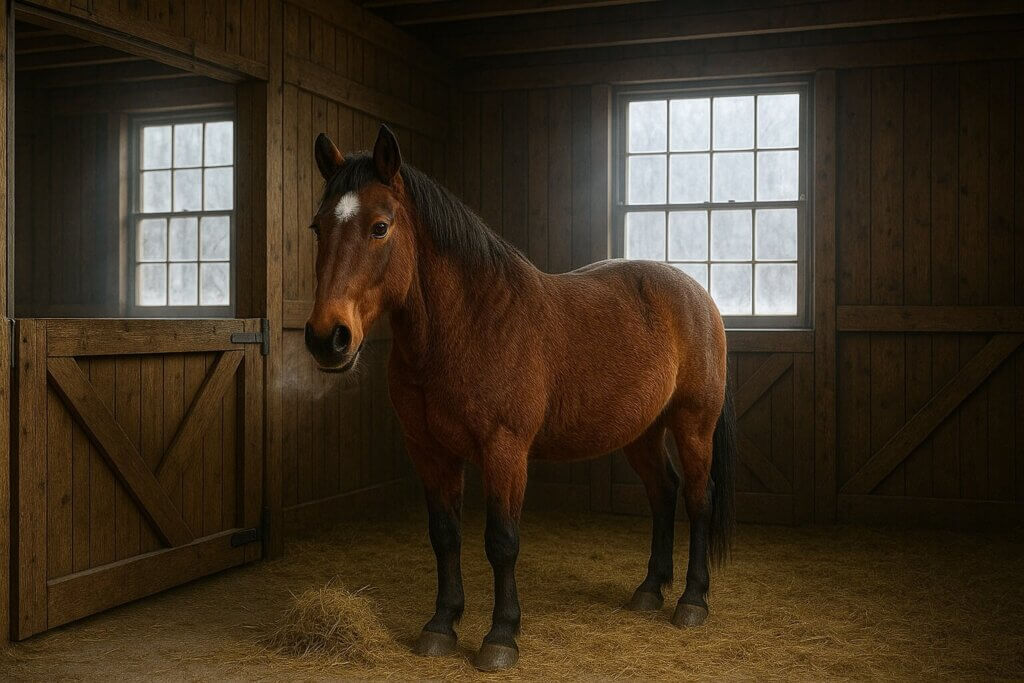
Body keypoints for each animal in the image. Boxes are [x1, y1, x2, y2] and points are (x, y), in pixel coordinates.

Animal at [304, 124, 736, 672]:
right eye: (318, 227)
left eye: (380, 227)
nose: (327, 338)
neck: (470, 325)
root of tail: (698, 295)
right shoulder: (429, 452)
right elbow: (444, 536)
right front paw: (441, 625)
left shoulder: (504, 451)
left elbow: (502, 542)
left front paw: (501, 637)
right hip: (642, 431)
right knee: (664, 493)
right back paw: (649, 591)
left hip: (693, 424)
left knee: (699, 497)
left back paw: (692, 600)